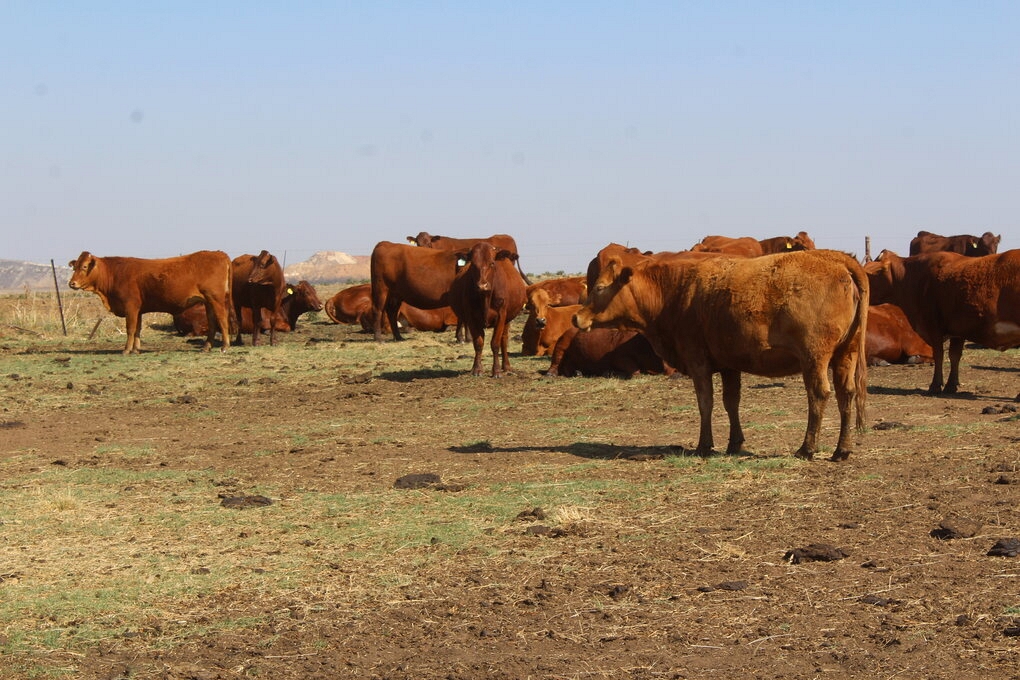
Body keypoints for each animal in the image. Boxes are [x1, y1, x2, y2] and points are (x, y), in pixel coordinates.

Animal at [67, 250, 232, 354]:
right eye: (74, 267)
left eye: (84, 266)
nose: (71, 283)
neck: (113, 273)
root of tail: (218, 253)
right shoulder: (138, 310)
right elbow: (138, 330)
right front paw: (136, 349)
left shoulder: (130, 307)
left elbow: (130, 329)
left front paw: (126, 350)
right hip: (208, 302)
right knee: (212, 322)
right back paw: (207, 347)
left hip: (216, 299)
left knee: (223, 320)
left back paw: (225, 347)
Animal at [449, 243, 527, 377]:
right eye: (473, 264)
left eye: (492, 263)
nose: (482, 285)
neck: (485, 297)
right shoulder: (471, 318)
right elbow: (478, 343)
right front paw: (477, 369)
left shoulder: (501, 316)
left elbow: (495, 343)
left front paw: (496, 371)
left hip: (507, 320)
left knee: (504, 340)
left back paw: (506, 367)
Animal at [574, 247, 868, 460]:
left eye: (599, 287)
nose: (577, 317)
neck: (676, 291)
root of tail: (836, 258)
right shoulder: (729, 363)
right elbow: (731, 402)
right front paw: (734, 443)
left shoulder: (697, 361)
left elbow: (706, 402)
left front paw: (704, 445)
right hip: (846, 353)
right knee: (846, 394)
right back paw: (842, 450)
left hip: (814, 357)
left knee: (819, 394)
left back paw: (807, 449)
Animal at [866, 249, 1020, 394]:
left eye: (869, 274)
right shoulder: (958, 330)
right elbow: (954, 356)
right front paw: (951, 385)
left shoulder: (934, 327)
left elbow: (939, 355)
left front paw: (935, 385)